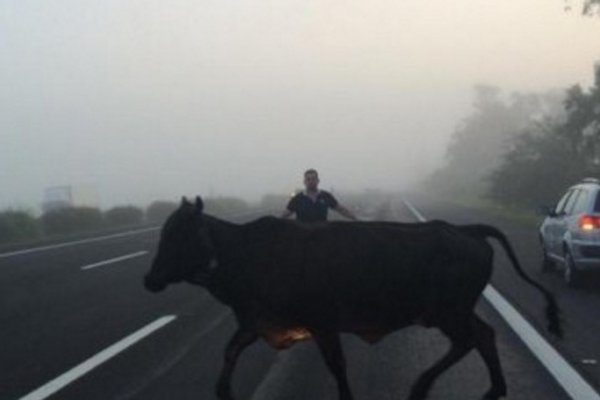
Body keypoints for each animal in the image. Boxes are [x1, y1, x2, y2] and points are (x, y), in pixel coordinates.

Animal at [143, 198, 560, 400]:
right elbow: (230, 351)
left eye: (179, 235)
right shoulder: (255, 321)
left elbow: (337, 365)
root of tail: (466, 230)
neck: (244, 251)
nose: (149, 280)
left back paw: (422, 387)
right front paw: (224, 390)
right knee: (483, 336)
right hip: (454, 311)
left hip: (448, 312)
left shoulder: (322, 323)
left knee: (470, 340)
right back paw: (492, 389)